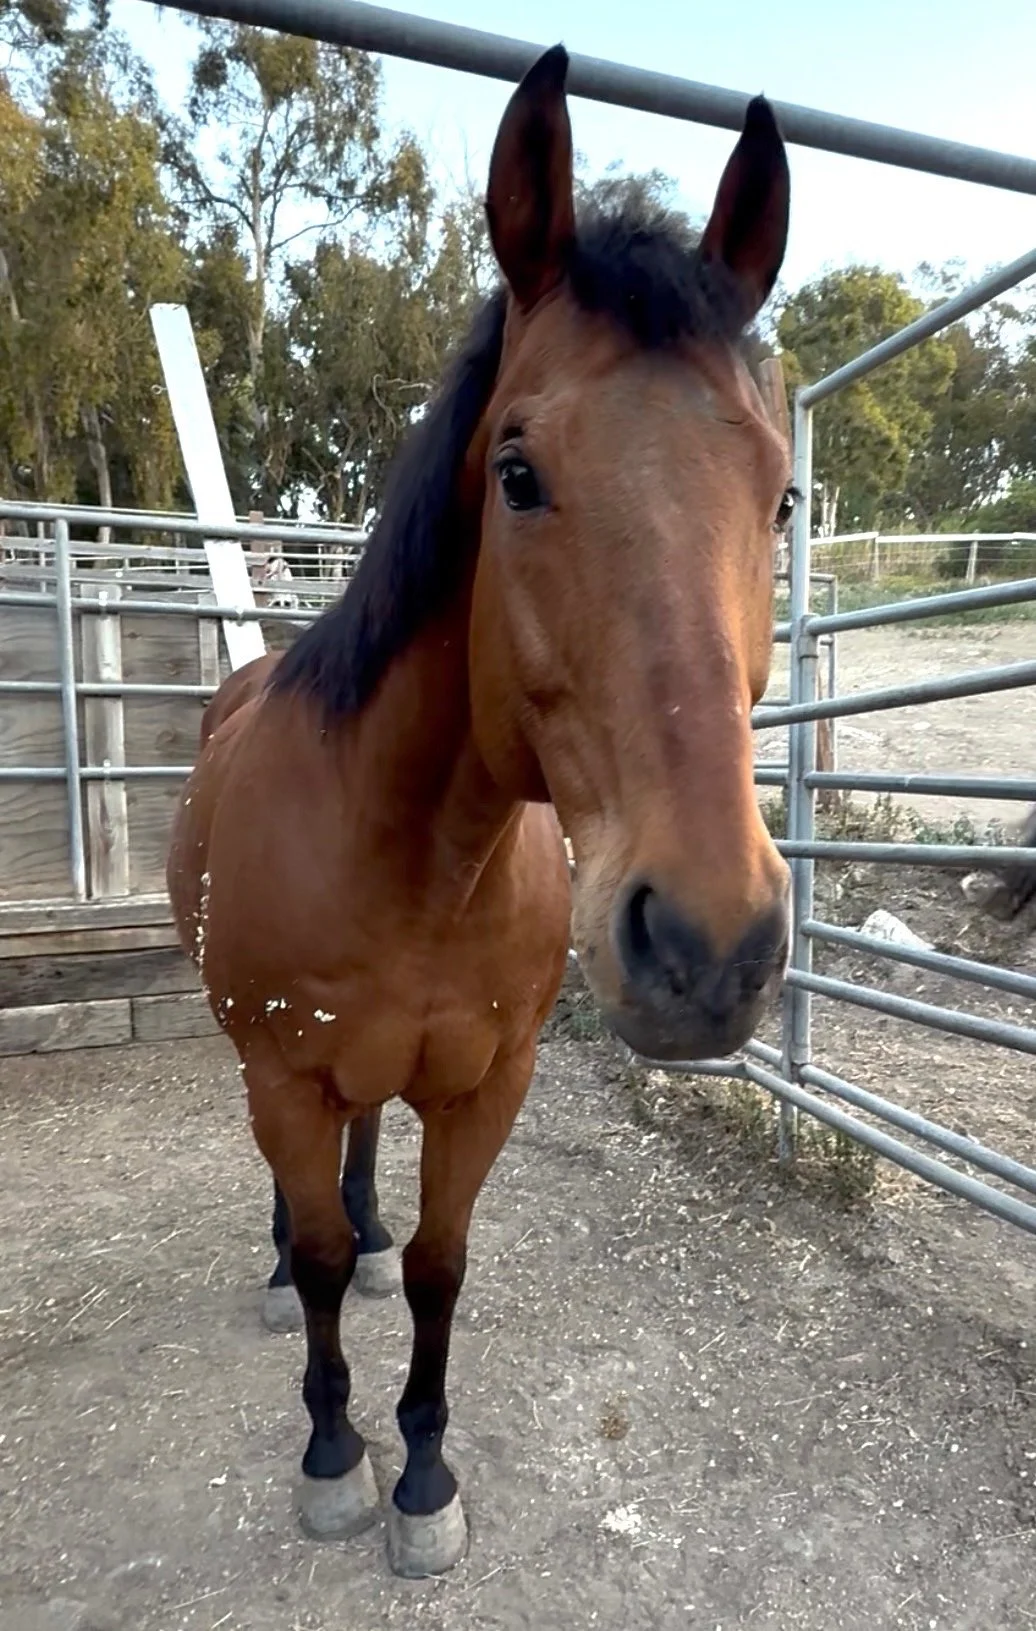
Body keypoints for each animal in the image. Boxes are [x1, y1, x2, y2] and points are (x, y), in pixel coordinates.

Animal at [168, 45, 794, 1580]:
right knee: (301, 1211)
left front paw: (425, 1472)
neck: (413, 858)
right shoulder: (286, 1074)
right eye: (518, 472)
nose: (710, 948)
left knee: (362, 1170)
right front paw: (336, 1455)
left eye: (779, 496)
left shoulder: (484, 1082)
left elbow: (439, 1266)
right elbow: (321, 1260)